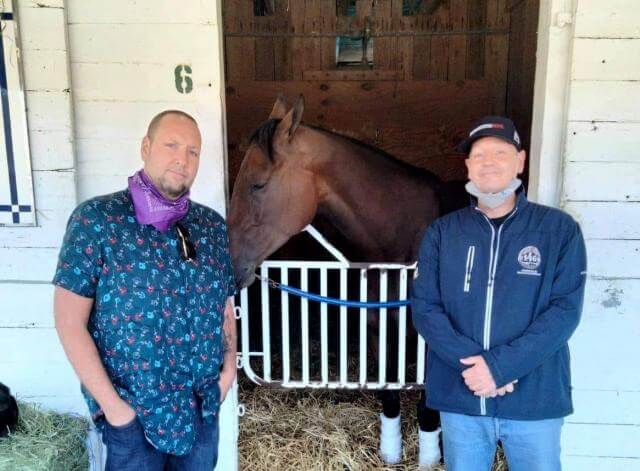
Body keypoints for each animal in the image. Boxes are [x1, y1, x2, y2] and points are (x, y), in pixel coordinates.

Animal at [228, 96, 452, 468]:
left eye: (257, 184)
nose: (229, 264)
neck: (405, 238)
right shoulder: (379, 328)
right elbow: (389, 393)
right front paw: (391, 453)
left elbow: (427, 404)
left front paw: (430, 457)